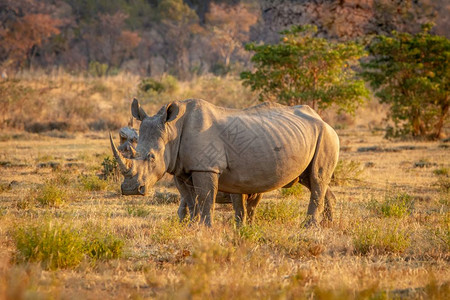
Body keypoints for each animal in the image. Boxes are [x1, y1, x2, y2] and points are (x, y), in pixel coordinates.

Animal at [110, 98, 340, 227]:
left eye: (152, 157)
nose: (130, 190)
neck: (172, 129)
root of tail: (323, 120)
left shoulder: (206, 168)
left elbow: (205, 198)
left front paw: (206, 228)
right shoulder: (180, 169)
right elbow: (190, 200)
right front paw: (192, 227)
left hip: (327, 136)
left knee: (317, 179)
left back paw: (308, 227)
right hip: (307, 135)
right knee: (312, 180)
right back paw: (327, 225)